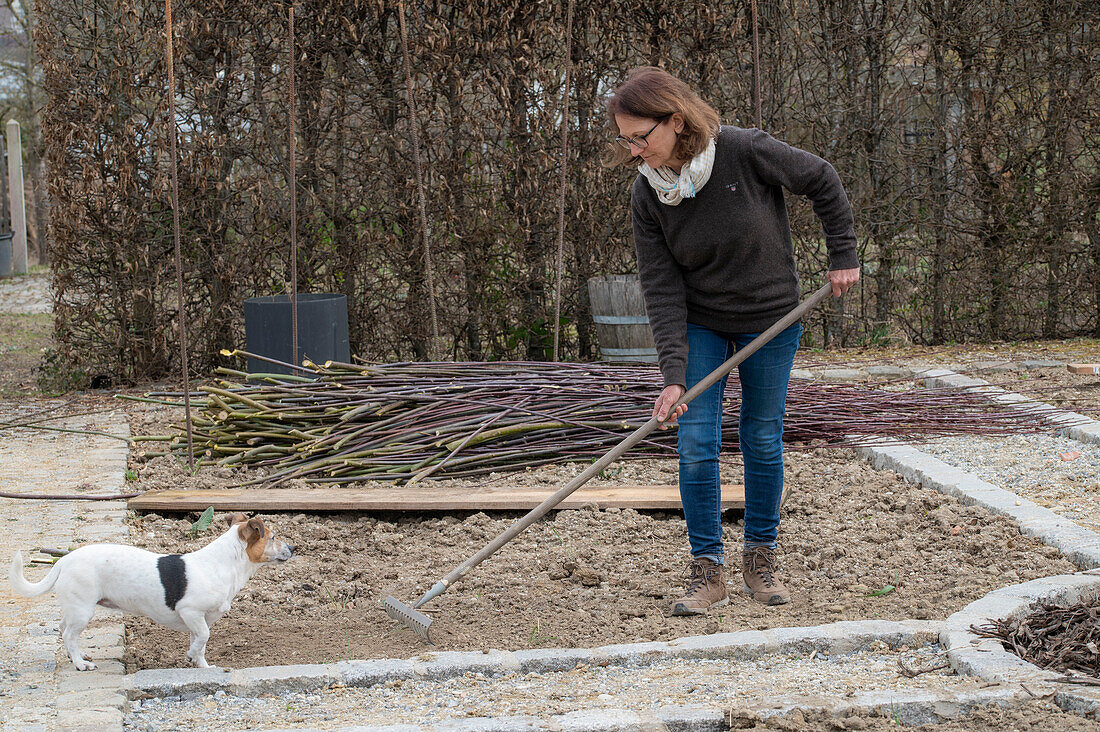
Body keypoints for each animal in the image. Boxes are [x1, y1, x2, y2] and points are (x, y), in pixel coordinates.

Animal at [8, 510, 292, 669]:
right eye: (273, 537)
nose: (293, 548)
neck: (224, 563)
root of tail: (65, 560)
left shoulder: (197, 619)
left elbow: (199, 642)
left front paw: (199, 664)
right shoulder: (191, 612)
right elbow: (203, 637)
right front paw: (194, 657)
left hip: (75, 609)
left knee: (63, 630)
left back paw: (77, 655)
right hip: (83, 611)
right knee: (68, 635)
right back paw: (80, 664)